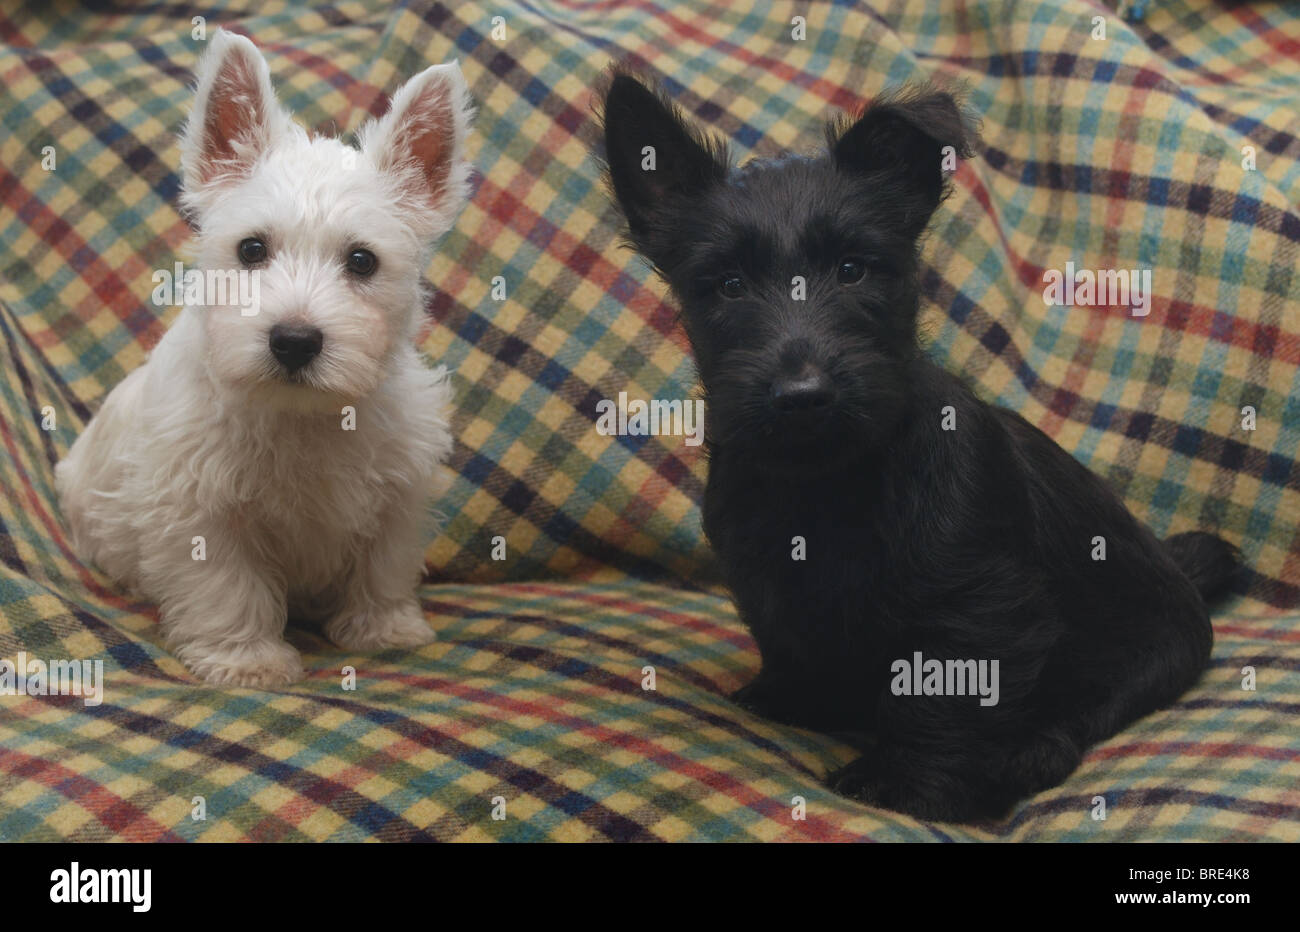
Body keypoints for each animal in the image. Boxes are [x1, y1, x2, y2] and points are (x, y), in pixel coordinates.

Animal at [57, 30, 473, 681]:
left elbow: (383, 566)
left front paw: (384, 628)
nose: (294, 341)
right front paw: (247, 659)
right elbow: (227, 588)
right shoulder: (200, 511)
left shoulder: (398, 495)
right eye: (251, 249)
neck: (302, 417)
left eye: (362, 261)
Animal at [598, 69, 1237, 816]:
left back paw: (1030, 752)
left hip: (1147, 654)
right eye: (727, 285)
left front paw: (902, 783)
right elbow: (787, 640)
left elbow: (939, 700)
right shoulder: (764, 577)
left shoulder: (978, 609)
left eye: (853, 269)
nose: (803, 395)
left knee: (1086, 708)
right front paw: (788, 698)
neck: (826, 485)